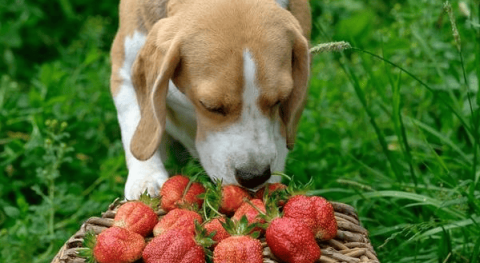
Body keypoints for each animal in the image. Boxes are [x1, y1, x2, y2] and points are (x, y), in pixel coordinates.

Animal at [109, 0, 312, 199]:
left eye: (279, 100)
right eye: (211, 107)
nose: (254, 176)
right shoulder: (123, 70)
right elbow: (135, 119)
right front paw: (146, 177)